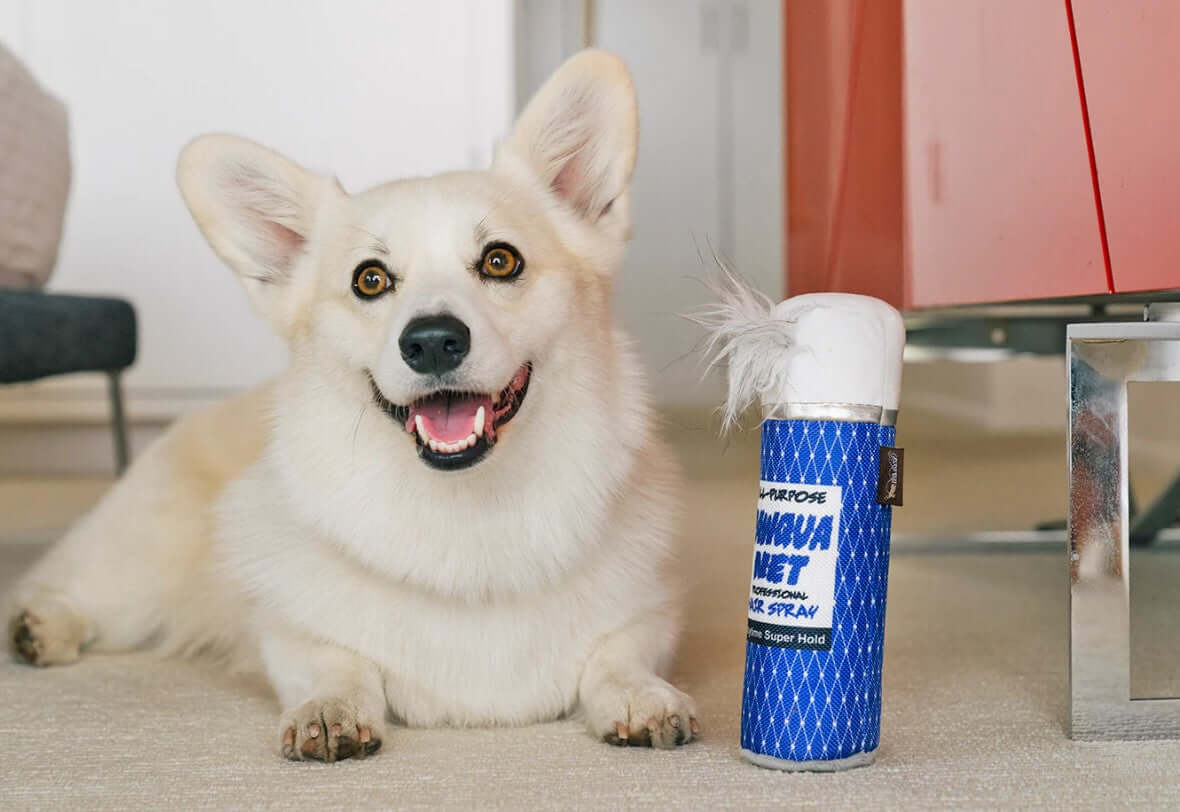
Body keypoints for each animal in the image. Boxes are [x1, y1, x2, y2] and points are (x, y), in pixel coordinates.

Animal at [4, 50, 693, 760]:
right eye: (371, 279)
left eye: (501, 261)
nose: (432, 342)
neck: (466, 509)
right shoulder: (290, 632)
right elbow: (337, 660)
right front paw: (329, 711)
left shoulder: (654, 612)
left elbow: (616, 655)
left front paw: (639, 696)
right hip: (140, 570)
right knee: (69, 584)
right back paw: (43, 626)